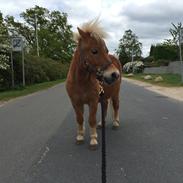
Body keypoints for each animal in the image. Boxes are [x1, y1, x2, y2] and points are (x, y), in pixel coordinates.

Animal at [66, 18, 121, 149]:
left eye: (106, 50)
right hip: (104, 97)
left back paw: (115, 123)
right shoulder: (75, 102)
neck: (80, 82)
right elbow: (80, 119)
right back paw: (101, 124)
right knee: (105, 108)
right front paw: (80, 136)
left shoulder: (93, 101)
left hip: (115, 94)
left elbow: (91, 119)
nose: (114, 74)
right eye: (94, 51)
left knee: (116, 106)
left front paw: (93, 139)